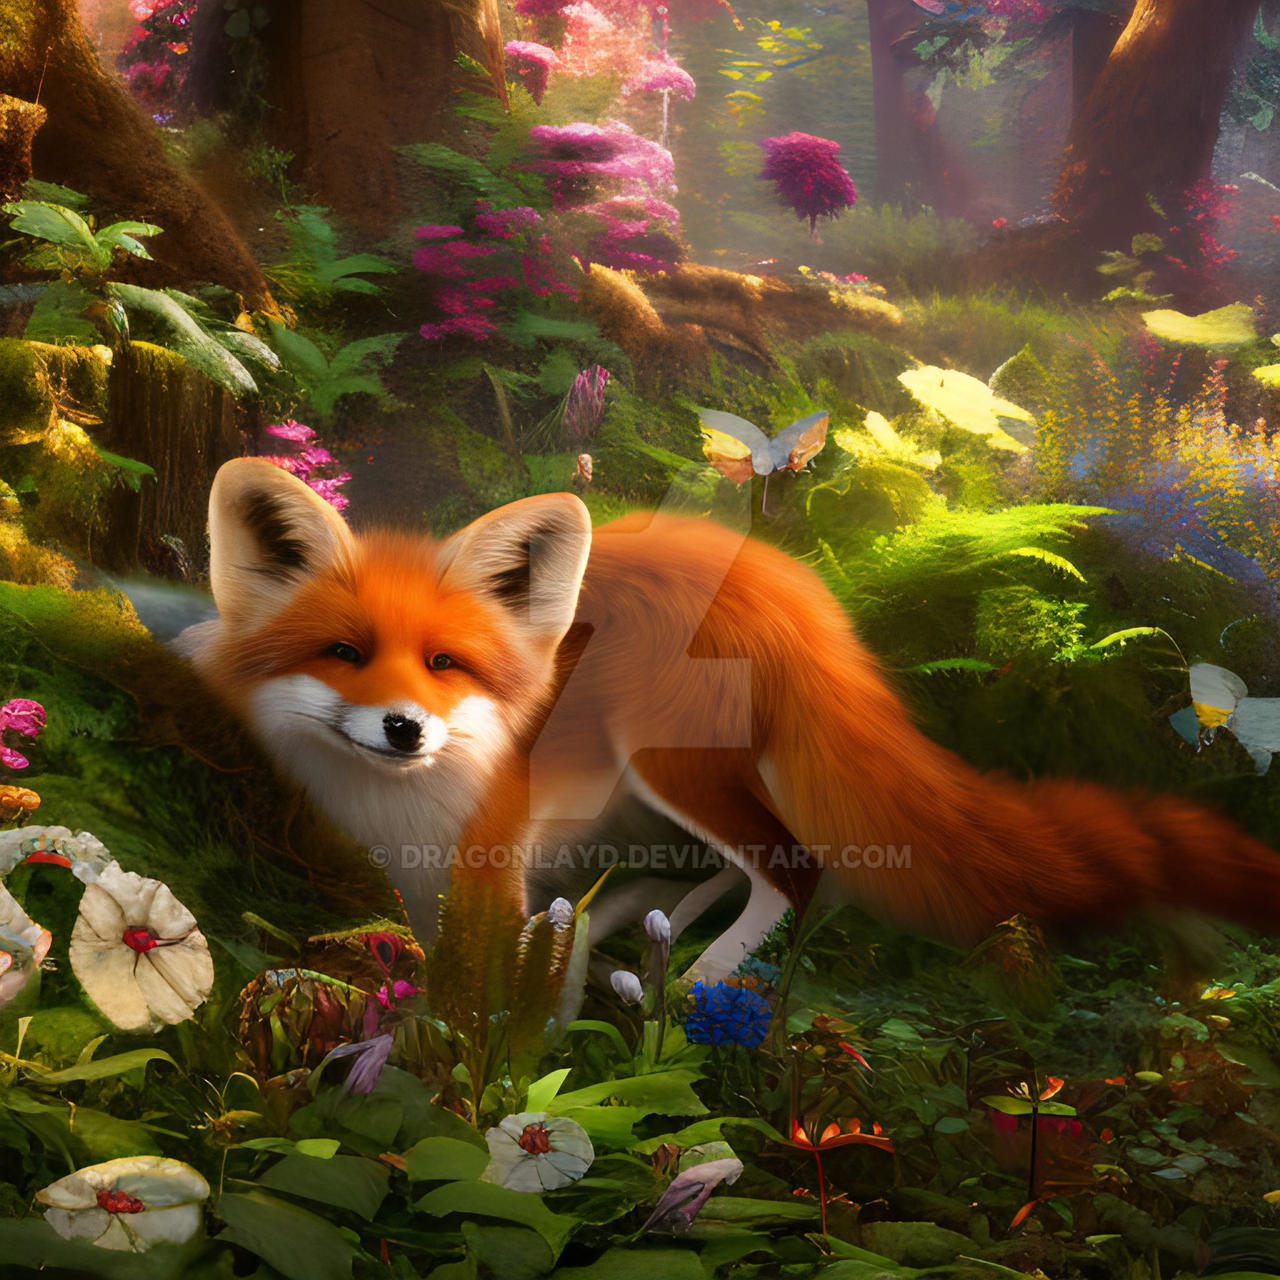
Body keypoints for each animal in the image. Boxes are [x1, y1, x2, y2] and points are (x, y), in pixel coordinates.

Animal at [179, 457, 1280, 978]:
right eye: (344, 654)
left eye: (448, 665)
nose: (405, 728)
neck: (400, 803)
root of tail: (783, 579)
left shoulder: (487, 854)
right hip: (652, 793)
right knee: (713, 871)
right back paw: (625, 929)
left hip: (668, 760)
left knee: (796, 870)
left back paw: (701, 977)